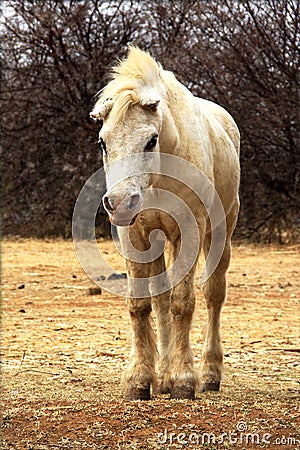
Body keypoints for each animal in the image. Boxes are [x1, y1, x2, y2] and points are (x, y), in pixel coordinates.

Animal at [90, 46, 240, 400]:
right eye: (103, 142)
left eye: (151, 140)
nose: (120, 202)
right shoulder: (135, 236)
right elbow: (141, 304)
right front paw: (141, 379)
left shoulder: (189, 232)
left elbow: (183, 303)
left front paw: (184, 379)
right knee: (161, 298)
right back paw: (163, 377)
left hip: (221, 233)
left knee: (214, 295)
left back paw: (209, 375)